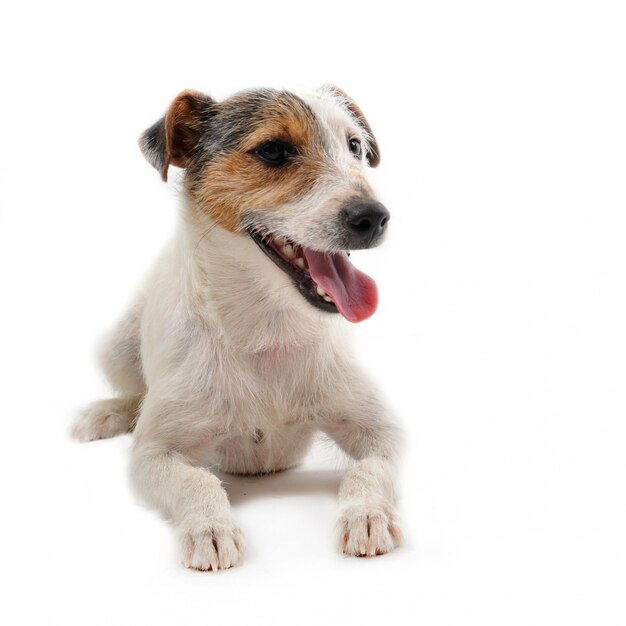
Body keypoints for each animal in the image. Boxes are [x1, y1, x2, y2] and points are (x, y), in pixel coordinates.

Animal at [72, 85, 404, 568]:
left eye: (355, 146)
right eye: (272, 150)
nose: (375, 217)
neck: (266, 329)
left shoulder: (384, 432)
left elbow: (370, 469)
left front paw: (367, 513)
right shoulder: (153, 454)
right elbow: (197, 481)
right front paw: (210, 527)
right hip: (114, 345)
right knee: (135, 393)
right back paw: (106, 412)